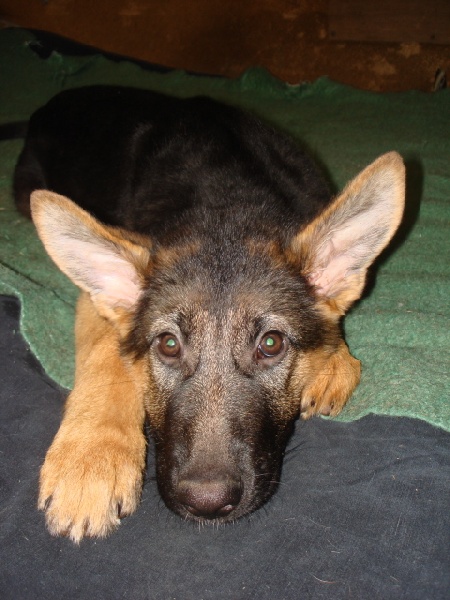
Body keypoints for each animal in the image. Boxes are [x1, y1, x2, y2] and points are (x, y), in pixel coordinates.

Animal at [13, 86, 404, 540]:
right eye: (168, 345)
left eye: (271, 344)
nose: (207, 503)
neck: (227, 204)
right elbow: (106, 352)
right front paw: (91, 456)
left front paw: (335, 360)